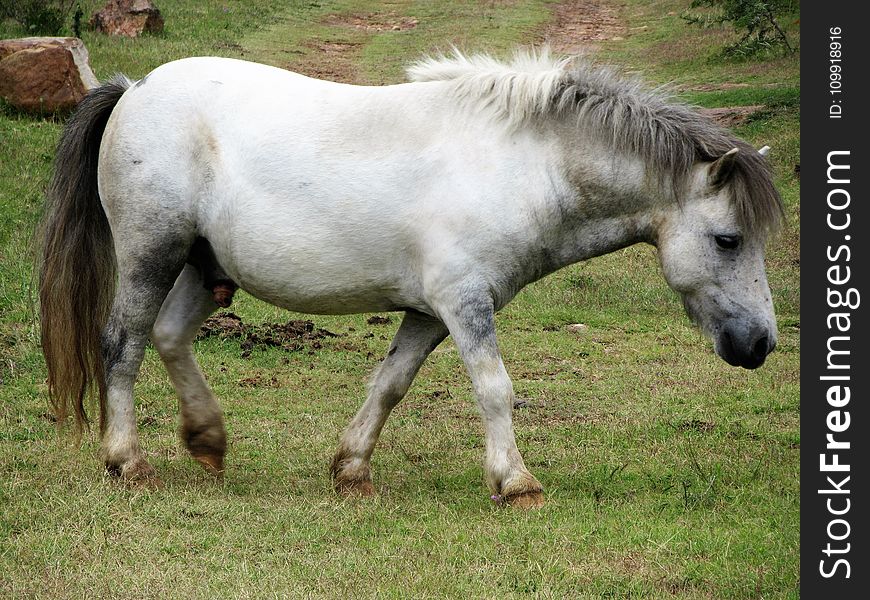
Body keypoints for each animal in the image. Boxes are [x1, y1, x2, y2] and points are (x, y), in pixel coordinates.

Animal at [39, 50, 784, 506]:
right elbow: (494, 387)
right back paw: (126, 460)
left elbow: (390, 384)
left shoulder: (430, 312)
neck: (521, 165)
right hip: (152, 254)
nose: (761, 346)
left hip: (204, 264)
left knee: (168, 338)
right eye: (729, 239)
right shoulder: (464, 302)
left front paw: (352, 470)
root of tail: (135, 89)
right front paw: (515, 483)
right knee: (123, 346)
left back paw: (208, 440)